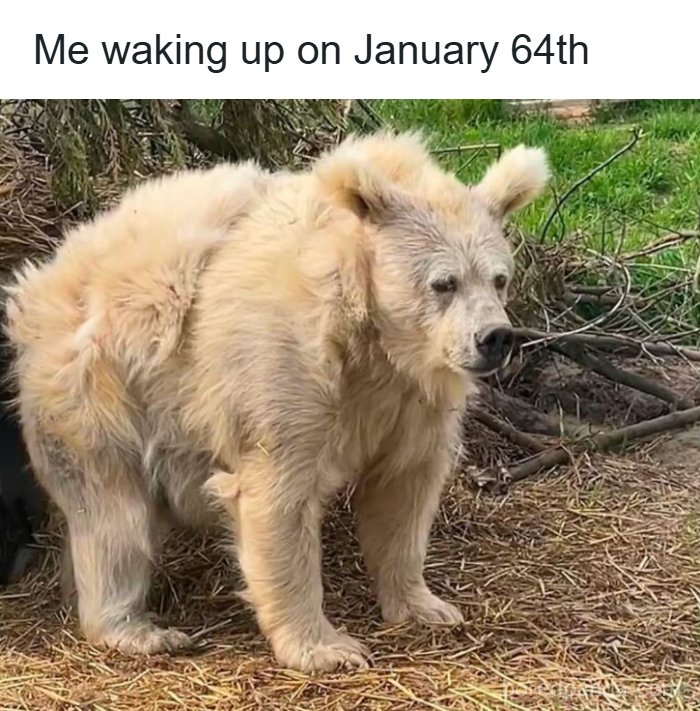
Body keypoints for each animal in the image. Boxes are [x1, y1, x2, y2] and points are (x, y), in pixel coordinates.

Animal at [4, 131, 549, 672]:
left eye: (499, 278)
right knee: (113, 517)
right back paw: (138, 629)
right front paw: (327, 647)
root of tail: (44, 275)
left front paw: (426, 606)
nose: (495, 338)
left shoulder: (410, 401)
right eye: (444, 282)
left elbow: (404, 492)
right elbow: (278, 498)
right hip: (98, 389)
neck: (371, 341)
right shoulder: (285, 372)